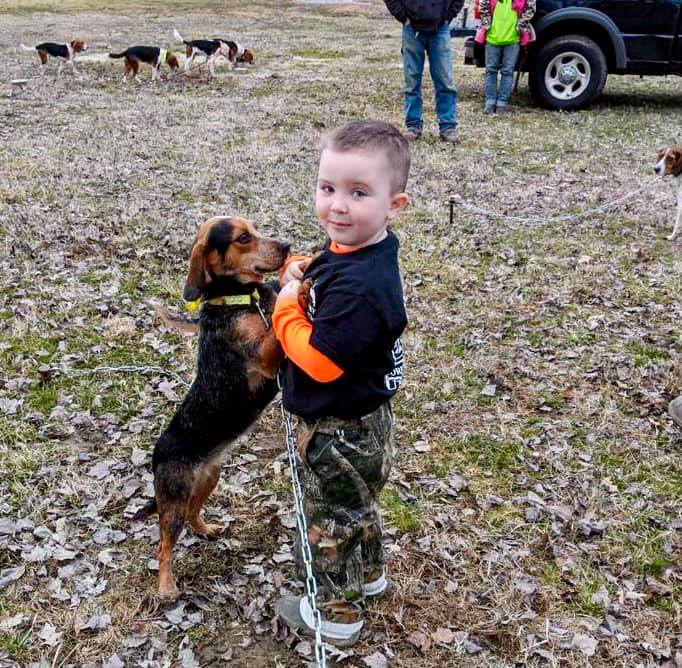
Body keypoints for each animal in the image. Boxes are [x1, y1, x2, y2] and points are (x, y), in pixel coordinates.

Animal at [133, 215, 294, 596]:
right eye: (243, 238)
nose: (287, 247)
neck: (238, 299)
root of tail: (156, 457)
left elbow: (275, 297)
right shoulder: (264, 356)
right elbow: (275, 323)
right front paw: (303, 283)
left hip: (210, 478)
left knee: (194, 513)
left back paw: (206, 529)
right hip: (174, 499)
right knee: (164, 545)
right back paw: (167, 587)